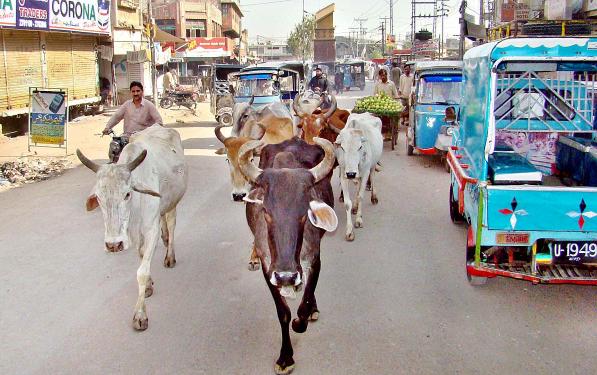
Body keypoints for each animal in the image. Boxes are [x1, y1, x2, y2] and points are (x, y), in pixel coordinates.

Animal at [75, 127, 186, 332]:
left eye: (127, 194)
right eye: (99, 197)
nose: (113, 245)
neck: (135, 206)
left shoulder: (150, 230)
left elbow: (141, 272)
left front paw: (140, 315)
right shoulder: (134, 236)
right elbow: (142, 257)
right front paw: (149, 285)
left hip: (173, 202)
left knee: (171, 223)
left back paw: (170, 256)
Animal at [239, 137, 340, 374]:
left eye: (303, 213)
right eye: (266, 211)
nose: (287, 276)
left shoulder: (314, 260)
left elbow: (303, 306)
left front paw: (300, 321)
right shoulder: (268, 268)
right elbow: (283, 313)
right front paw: (285, 357)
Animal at [332, 112, 384, 241]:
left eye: (360, 147)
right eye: (342, 147)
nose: (351, 174)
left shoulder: (364, 173)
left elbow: (360, 196)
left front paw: (359, 220)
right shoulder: (343, 174)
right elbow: (347, 203)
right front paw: (349, 231)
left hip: (372, 165)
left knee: (372, 177)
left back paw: (374, 197)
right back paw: (355, 207)